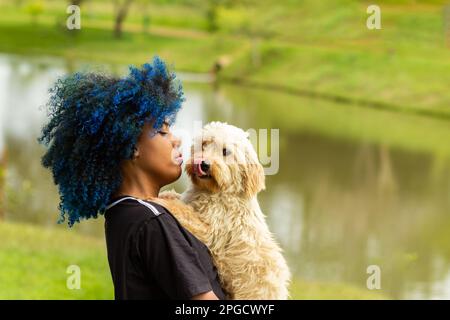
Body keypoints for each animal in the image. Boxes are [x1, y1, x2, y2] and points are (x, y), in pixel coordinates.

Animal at [153, 121, 290, 298]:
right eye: (204, 144)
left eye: (226, 152)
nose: (203, 164)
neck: (215, 191)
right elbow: (179, 199)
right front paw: (165, 195)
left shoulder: (212, 231)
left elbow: (184, 211)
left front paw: (158, 201)